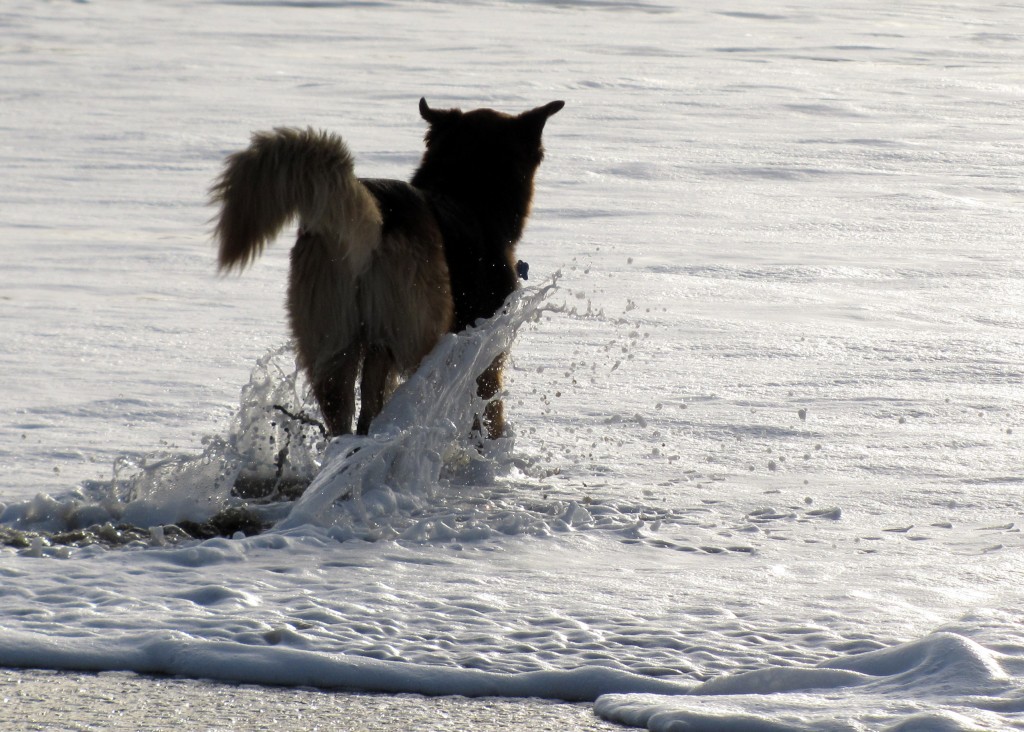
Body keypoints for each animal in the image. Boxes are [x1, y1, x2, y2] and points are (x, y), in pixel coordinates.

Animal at [211, 97, 565, 440]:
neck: (466, 196)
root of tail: (375, 210)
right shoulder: (482, 355)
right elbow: (488, 414)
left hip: (332, 342)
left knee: (347, 415)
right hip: (416, 334)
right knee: (381, 402)